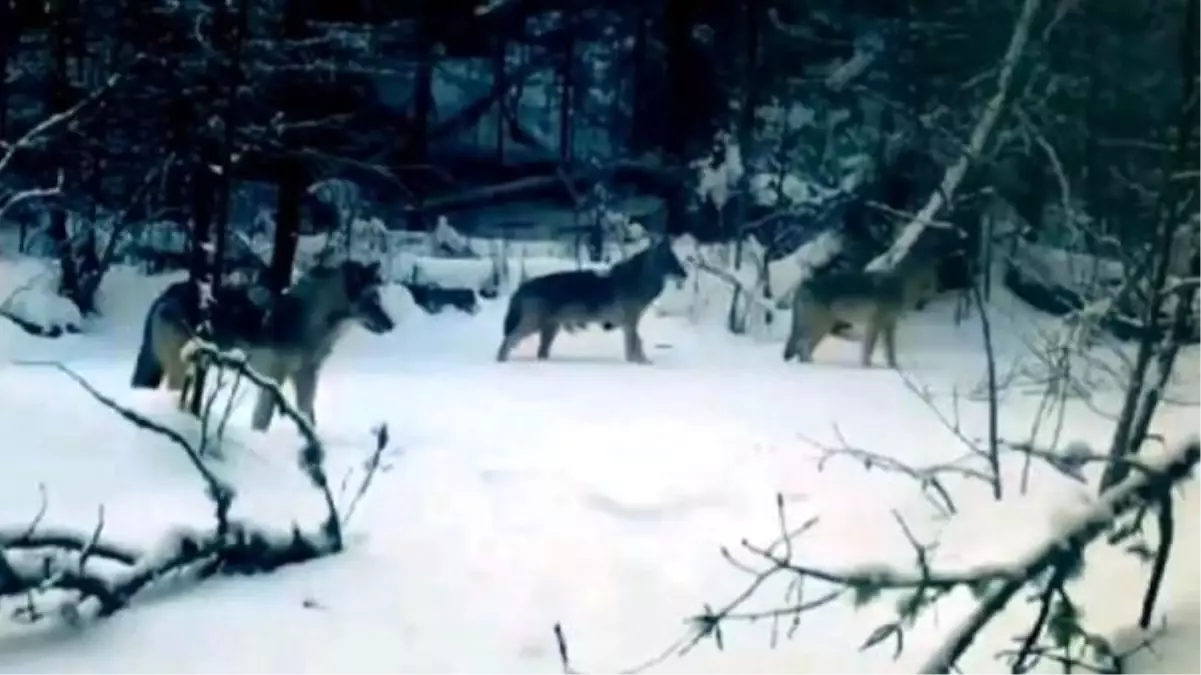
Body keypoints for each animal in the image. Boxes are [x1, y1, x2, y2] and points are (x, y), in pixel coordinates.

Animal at [132, 260, 396, 427]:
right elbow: (262, 420)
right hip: (180, 369)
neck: (308, 319)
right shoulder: (273, 378)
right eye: (373, 300)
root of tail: (164, 295)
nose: (392, 324)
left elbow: (308, 417)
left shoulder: (306, 377)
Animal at [494, 237, 686, 362]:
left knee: (539, 352)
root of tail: (523, 286)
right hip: (532, 326)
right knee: (506, 343)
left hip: (550, 329)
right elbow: (635, 345)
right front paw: (639, 364)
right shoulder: (630, 324)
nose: (686, 275)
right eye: (673, 261)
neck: (638, 280)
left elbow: (636, 344)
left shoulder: (629, 325)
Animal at [783, 253, 941, 367]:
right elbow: (869, 349)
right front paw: (868, 367)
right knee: (803, 346)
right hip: (821, 327)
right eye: (931, 285)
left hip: (820, 327)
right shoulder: (876, 324)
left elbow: (889, 350)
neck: (898, 285)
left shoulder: (888, 325)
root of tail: (805, 283)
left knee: (802, 347)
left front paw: (892, 366)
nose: (935, 293)